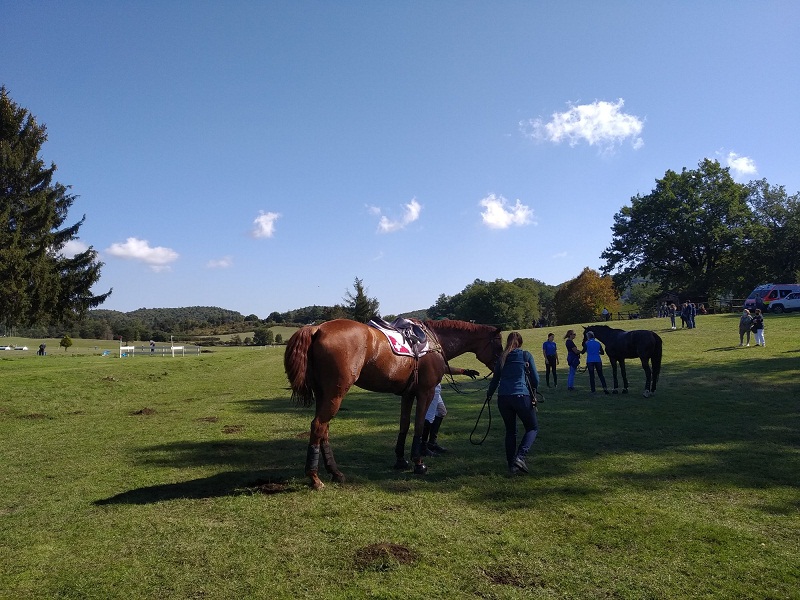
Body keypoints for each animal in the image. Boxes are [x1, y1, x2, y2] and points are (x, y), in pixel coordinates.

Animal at [286, 318, 500, 488]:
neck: (434, 341)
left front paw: (401, 460)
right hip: (335, 394)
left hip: (324, 394)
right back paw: (314, 478)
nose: (499, 367)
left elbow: (404, 425)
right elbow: (420, 425)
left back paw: (335, 472)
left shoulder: (408, 394)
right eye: (499, 345)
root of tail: (317, 329)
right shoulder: (426, 393)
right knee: (318, 426)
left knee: (324, 429)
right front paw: (418, 463)